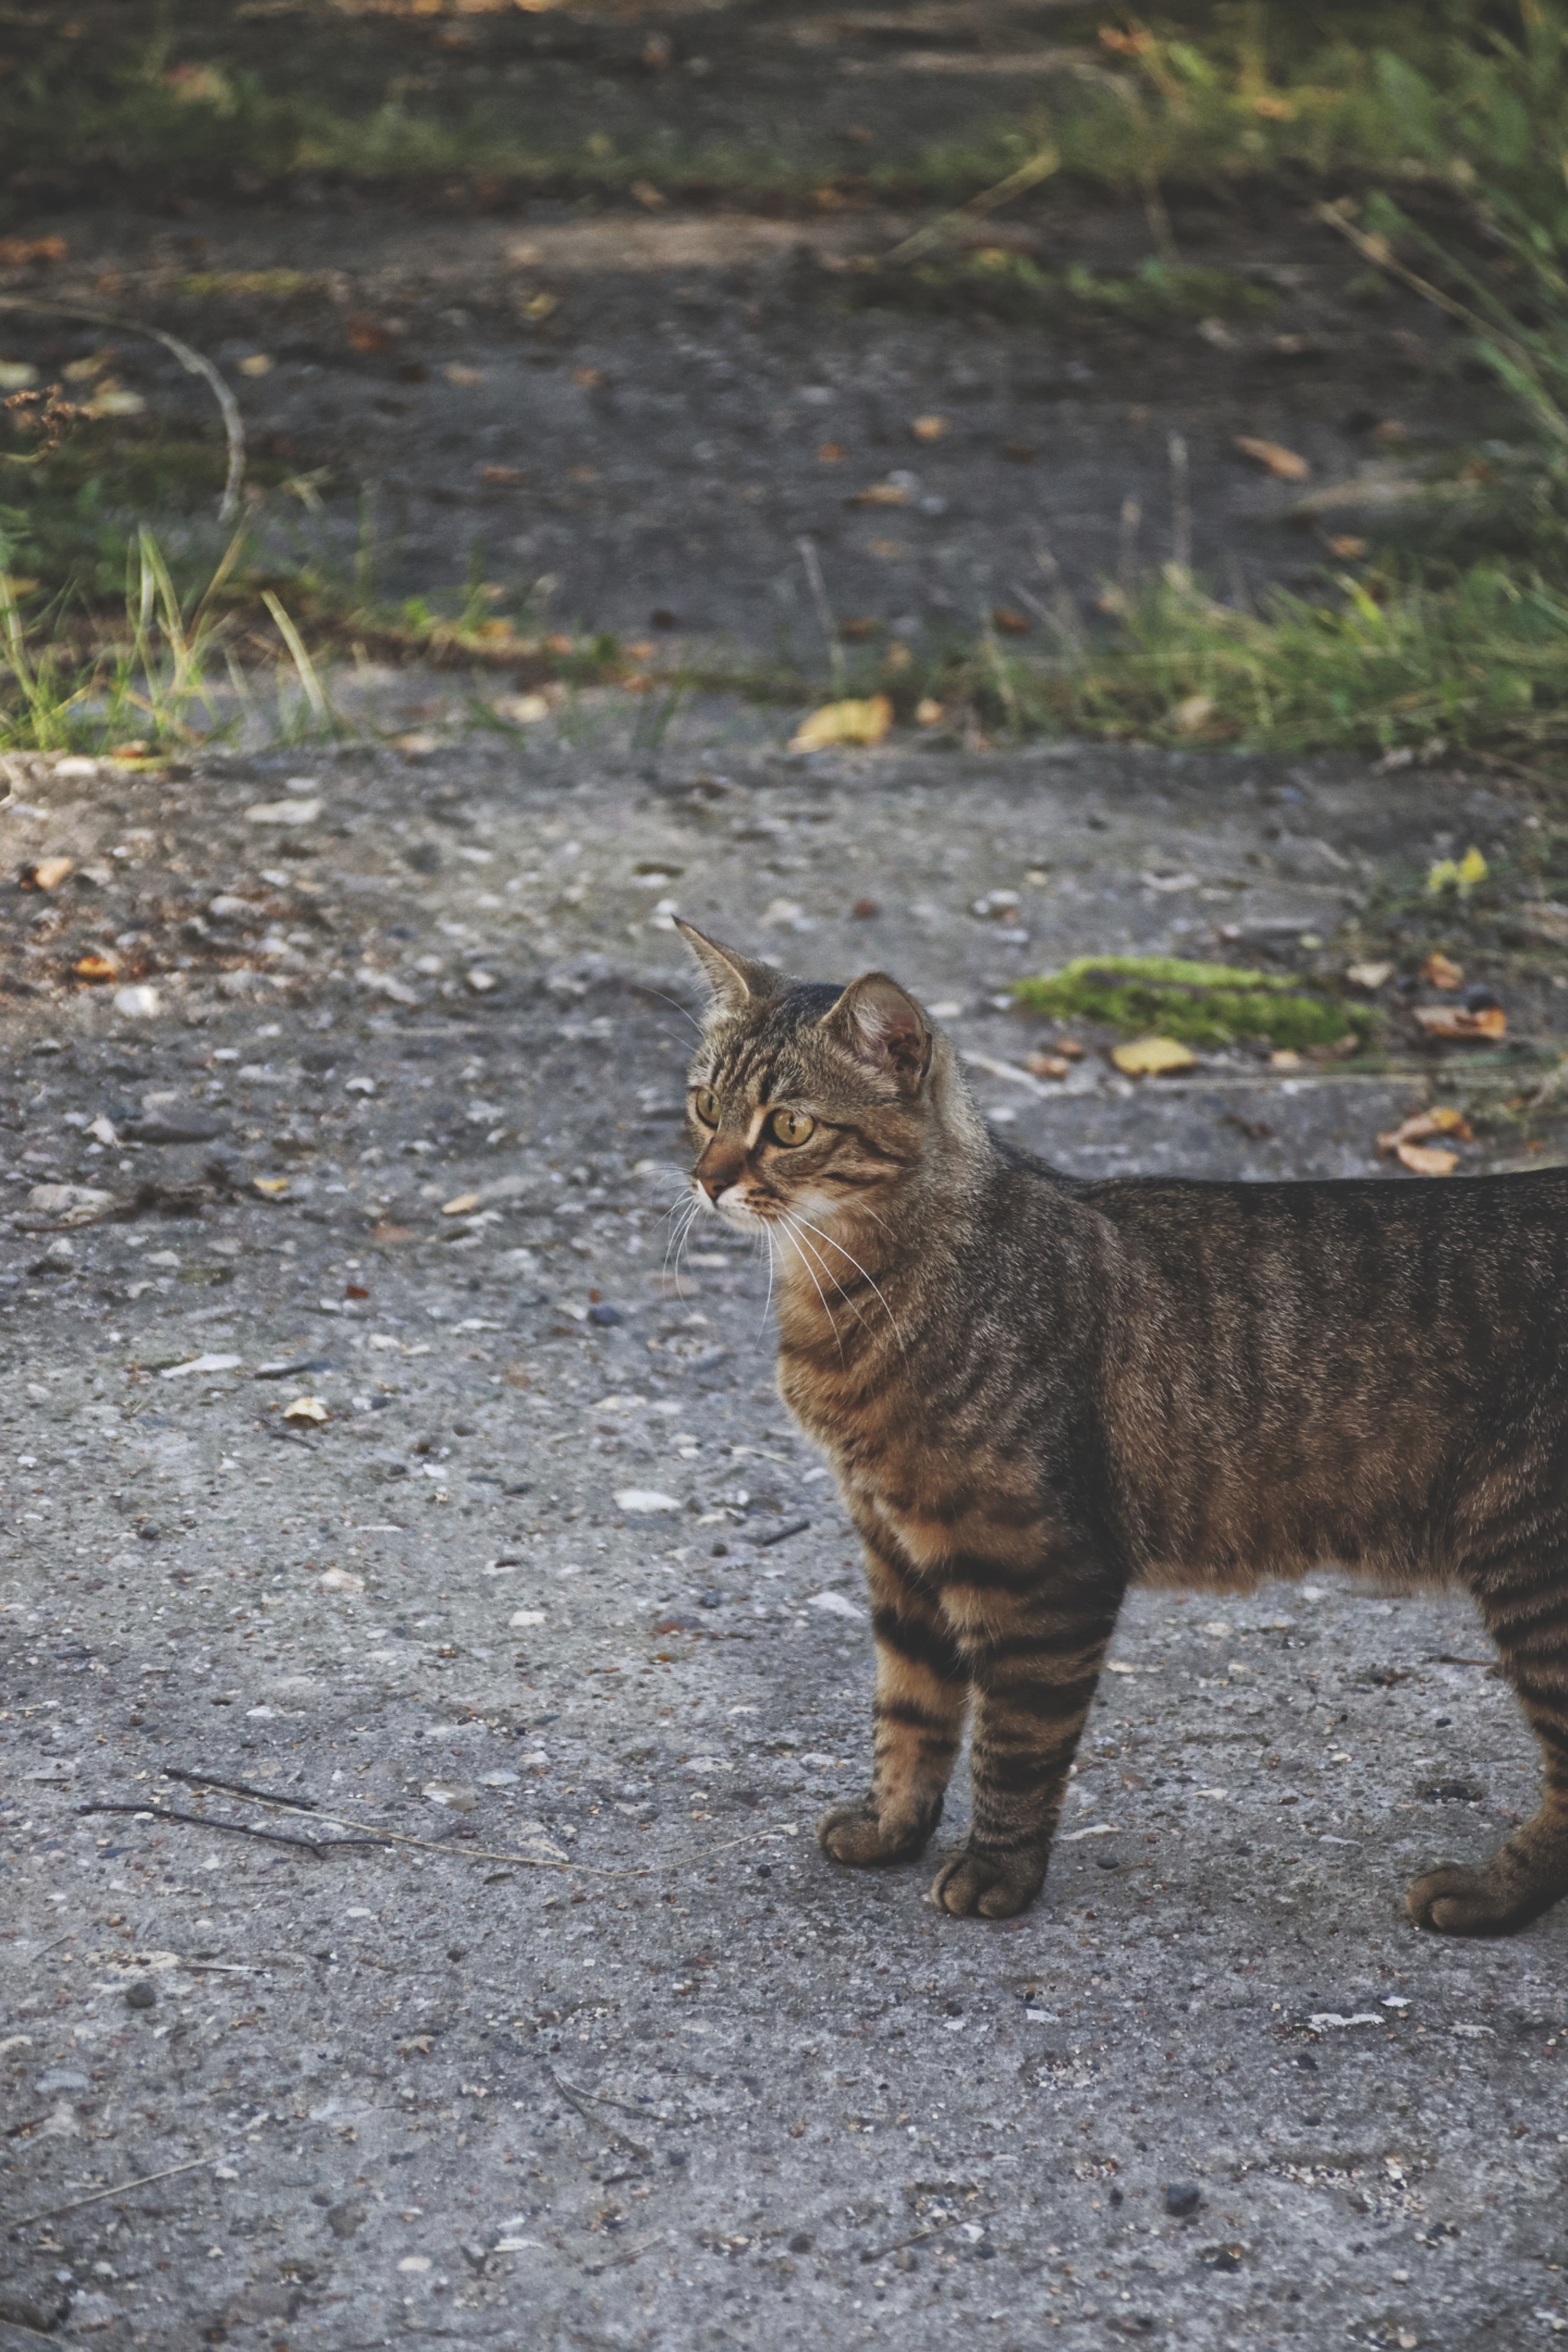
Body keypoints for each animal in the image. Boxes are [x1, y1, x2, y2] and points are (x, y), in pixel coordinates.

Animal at [677, 907, 1568, 1938]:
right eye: (705, 1106)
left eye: (788, 1126)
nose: (705, 1180)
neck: (853, 1292)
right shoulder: (895, 1550)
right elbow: (908, 1715)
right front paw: (891, 1829)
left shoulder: (1039, 1567)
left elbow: (1012, 1744)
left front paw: (995, 1872)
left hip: (1529, 1562)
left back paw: (1489, 1894)